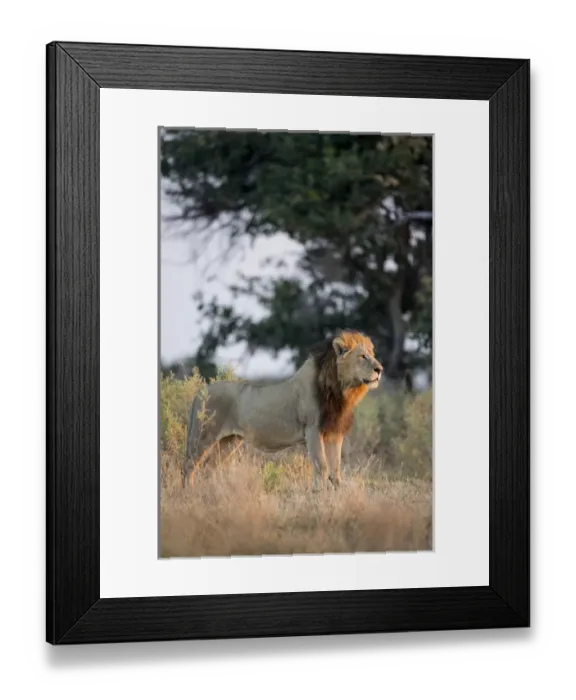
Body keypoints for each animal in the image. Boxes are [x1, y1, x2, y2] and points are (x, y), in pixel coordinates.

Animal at [183, 330, 384, 491]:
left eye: (372, 354)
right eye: (362, 356)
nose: (380, 369)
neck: (340, 390)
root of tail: (199, 393)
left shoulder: (334, 432)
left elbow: (335, 469)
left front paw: (336, 494)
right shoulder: (313, 429)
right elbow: (322, 466)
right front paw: (319, 494)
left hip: (229, 441)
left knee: (209, 467)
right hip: (204, 437)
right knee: (189, 465)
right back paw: (189, 493)